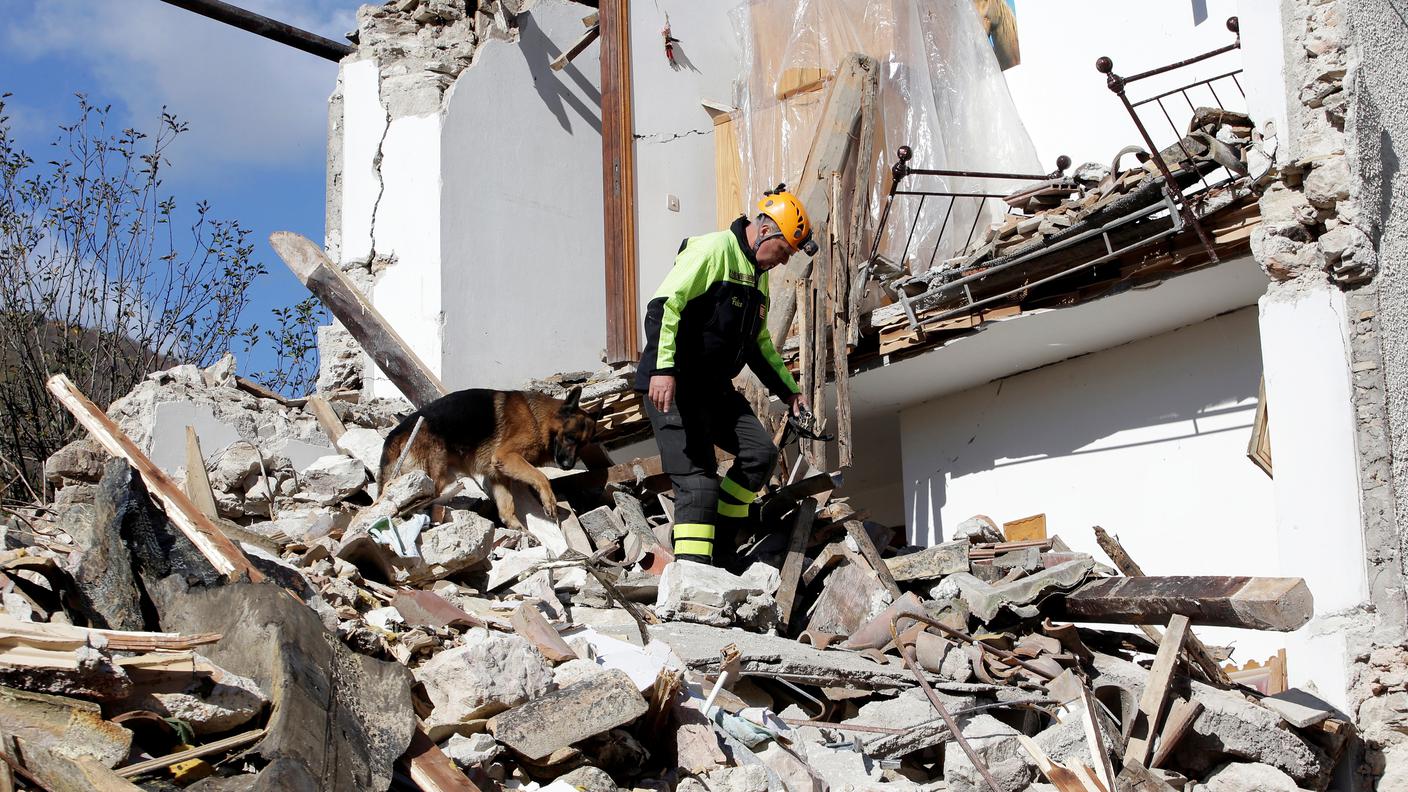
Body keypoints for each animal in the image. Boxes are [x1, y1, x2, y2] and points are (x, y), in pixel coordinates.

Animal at [377, 386, 596, 527]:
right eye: (570, 437)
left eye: (584, 444)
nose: (568, 466)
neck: (537, 418)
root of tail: (397, 431)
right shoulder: (506, 456)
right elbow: (541, 476)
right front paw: (549, 501)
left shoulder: (498, 474)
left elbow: (507, 508)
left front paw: (520, 532)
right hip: (431, 479)